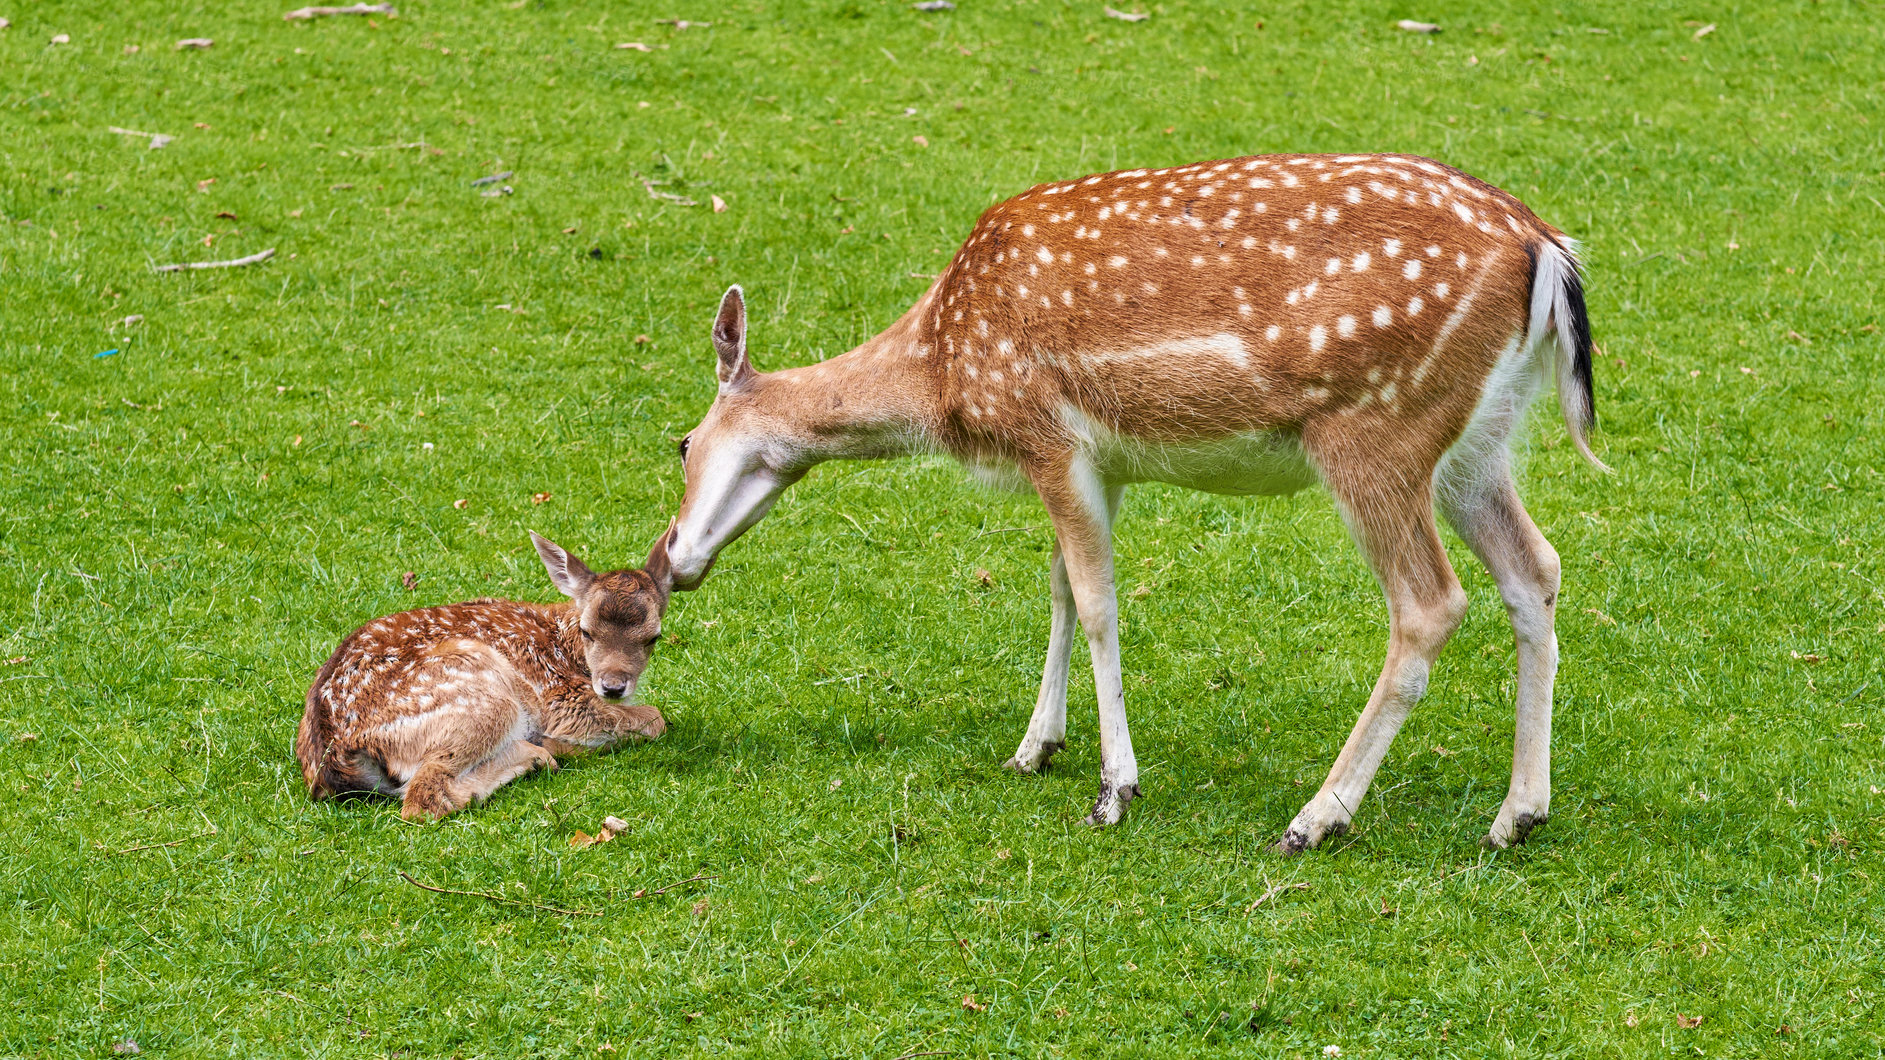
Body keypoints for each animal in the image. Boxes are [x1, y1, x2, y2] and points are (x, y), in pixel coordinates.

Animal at [663, 152, 1606, 844]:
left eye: (680, 445)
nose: (670, 556)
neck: (944, 373)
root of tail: (1546, 249)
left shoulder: (1048, 435)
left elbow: (1095, 601)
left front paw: (1114, 789)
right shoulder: (1099, 464)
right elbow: (1056, 588)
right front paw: (1035, 748)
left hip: (1376, 429)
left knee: (1429, 602)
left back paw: (1316, 817)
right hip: (1476, 443)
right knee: (1535, 567)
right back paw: (1517, 815)